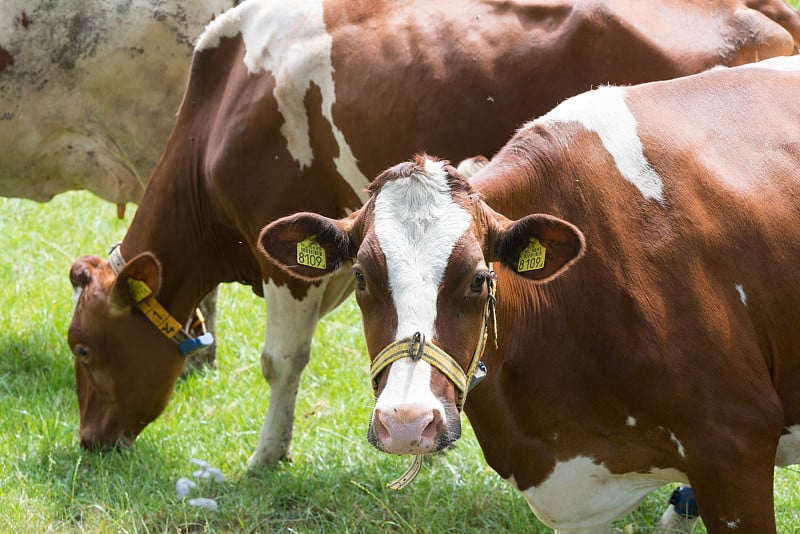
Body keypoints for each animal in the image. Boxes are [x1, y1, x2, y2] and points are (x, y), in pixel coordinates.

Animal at [69, 0, 800, 468]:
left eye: (82, 348)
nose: (88, 440)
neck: (224, 100)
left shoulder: (278, 249)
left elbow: (281, 361)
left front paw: (263, 458)